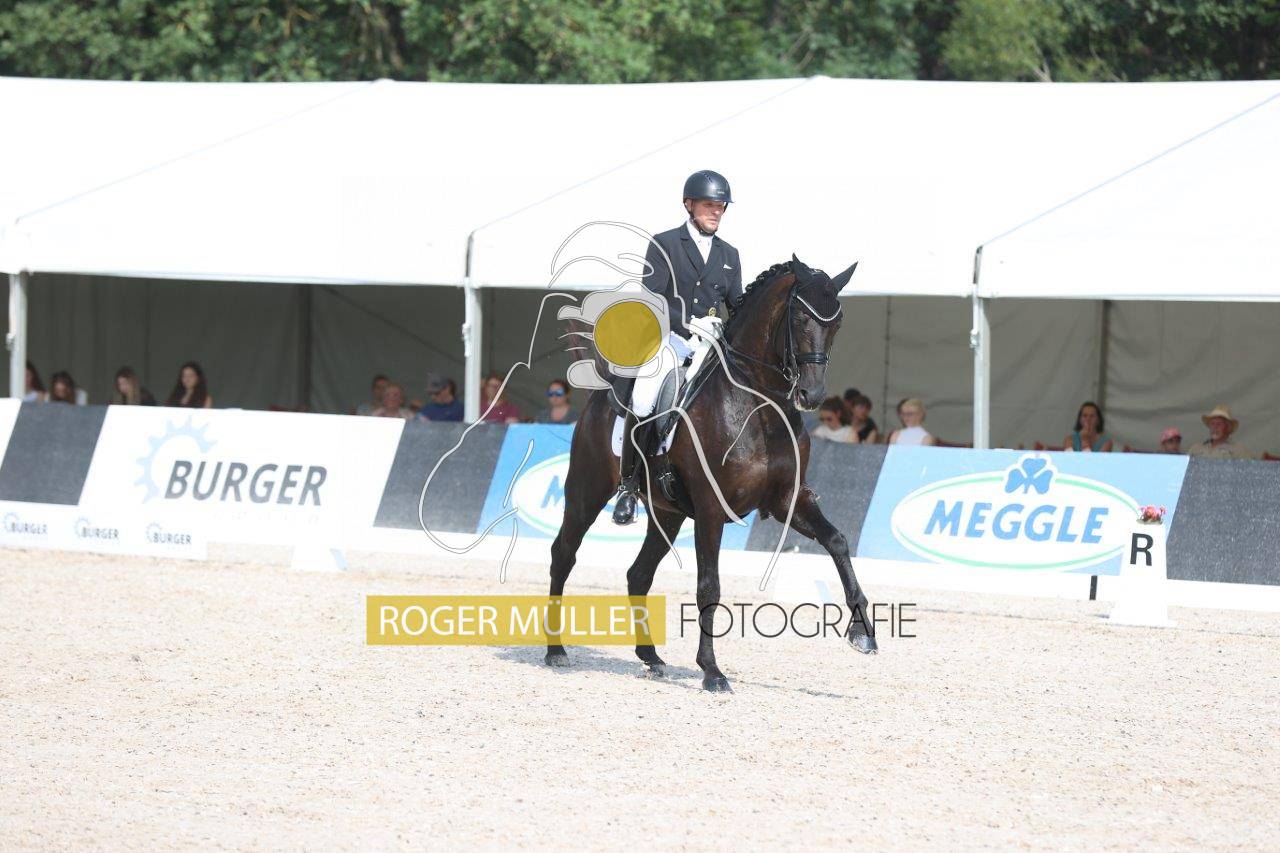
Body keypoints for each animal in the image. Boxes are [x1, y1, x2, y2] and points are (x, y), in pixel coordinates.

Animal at [545, 256, 875, 692]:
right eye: (801, 318)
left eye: (836, 322)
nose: (812, 395)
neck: (759, 404)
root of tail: (601, 395)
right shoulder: (711, 508)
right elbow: (709, 586)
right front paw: (712, 671)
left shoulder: (789, 499)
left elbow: (837, 542)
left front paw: (863, 633)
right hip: (586, 492)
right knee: (564, 554)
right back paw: (555, 651)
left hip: (667, 514)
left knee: (638, 574)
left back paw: (651, 656)